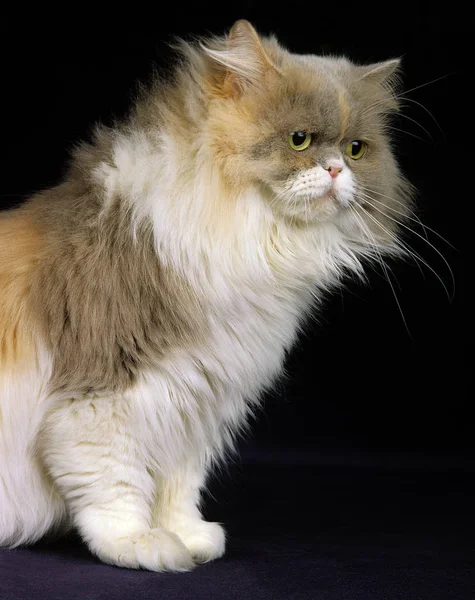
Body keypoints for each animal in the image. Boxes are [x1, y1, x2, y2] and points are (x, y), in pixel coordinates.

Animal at [0, 19, 412, 572]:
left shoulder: (195, 399)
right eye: (299, 140)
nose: (335, 171)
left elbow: (177, 487)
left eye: (356, 151)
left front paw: (187, 537)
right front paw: (140, 544)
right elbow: (114, 484)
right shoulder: (100, 393)